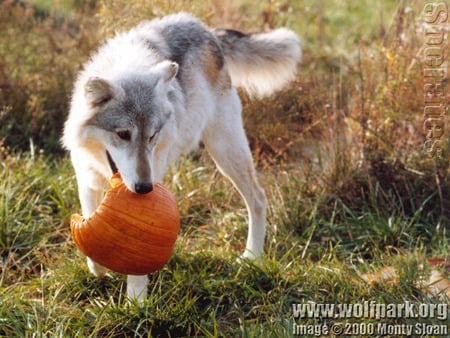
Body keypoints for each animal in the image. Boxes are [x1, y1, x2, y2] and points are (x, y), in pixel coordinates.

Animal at [62, 12, 302, 302]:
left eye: (152, 135)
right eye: (123, 134)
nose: (144, 188)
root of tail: (206, 29)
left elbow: (137, 259)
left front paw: (136, 303)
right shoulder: (86, 179)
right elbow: (89, 229)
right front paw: (99, 269)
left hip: (225, 152)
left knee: (258, 198)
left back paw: (252, 258)